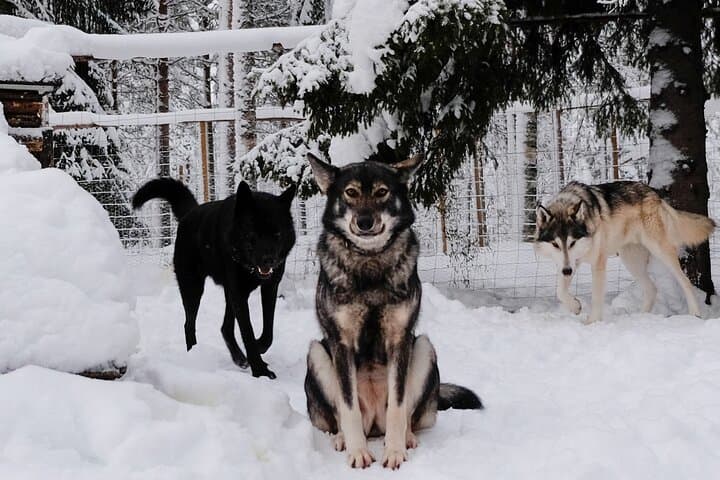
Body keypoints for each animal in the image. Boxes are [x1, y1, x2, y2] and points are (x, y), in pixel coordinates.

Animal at [132, 178, 296, 378]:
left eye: (277, 234)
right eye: (252, 234)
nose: (269, 260)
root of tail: (190, 213)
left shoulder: (269, 287)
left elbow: (268, 332)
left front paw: (258, 350)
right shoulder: (239, 293)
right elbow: (247, 332)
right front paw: (260, 370)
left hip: (228, 293)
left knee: (225, 327)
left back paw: (239, 358)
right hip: (193, 288)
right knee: (189, 325)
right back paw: (195, 355)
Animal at [304, 153, 482, 469]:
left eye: (381, 192)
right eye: (350, 192)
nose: (364, 222)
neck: (370, 264)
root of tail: (375, 425)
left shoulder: (400, 340)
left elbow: (399, 406)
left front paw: (395, 451)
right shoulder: (341, 344)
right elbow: (347, 407)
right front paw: (358, 452)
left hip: (423, 347)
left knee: (408, 413)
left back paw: (406, 437)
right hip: (317, 353)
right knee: (338, 415)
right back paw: (342, 438)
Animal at [534, 180, 715, 324]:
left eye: (572, 243)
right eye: (555, 244)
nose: (567, 271)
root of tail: (654, 194)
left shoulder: (597, 263)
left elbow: (596, 297)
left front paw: (592, 323)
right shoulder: (570, 262)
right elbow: (560, 291)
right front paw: (575, 307)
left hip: (660, 252)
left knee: (685, 282)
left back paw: (695, 314)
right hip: (631, 262)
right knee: (652, 289)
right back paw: (641, 318)